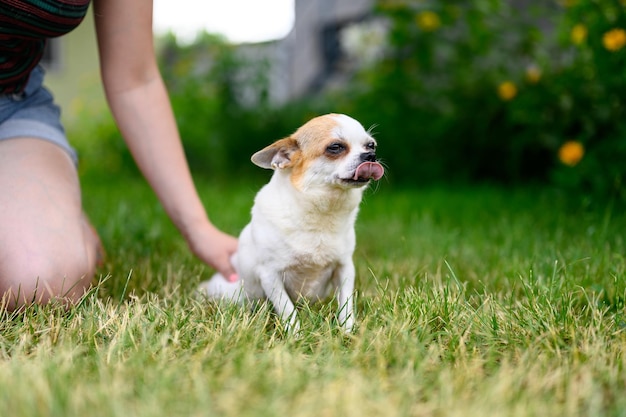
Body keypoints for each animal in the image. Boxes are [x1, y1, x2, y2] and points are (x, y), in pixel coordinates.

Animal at [196, 113, 380, 332]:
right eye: (335, 147)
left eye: (371, 145)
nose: (370, 156)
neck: (322, 213)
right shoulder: (270, 275)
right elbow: (287, 308)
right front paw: (295, 334)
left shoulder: (344, 269)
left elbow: (346, 304)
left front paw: (347, 330)